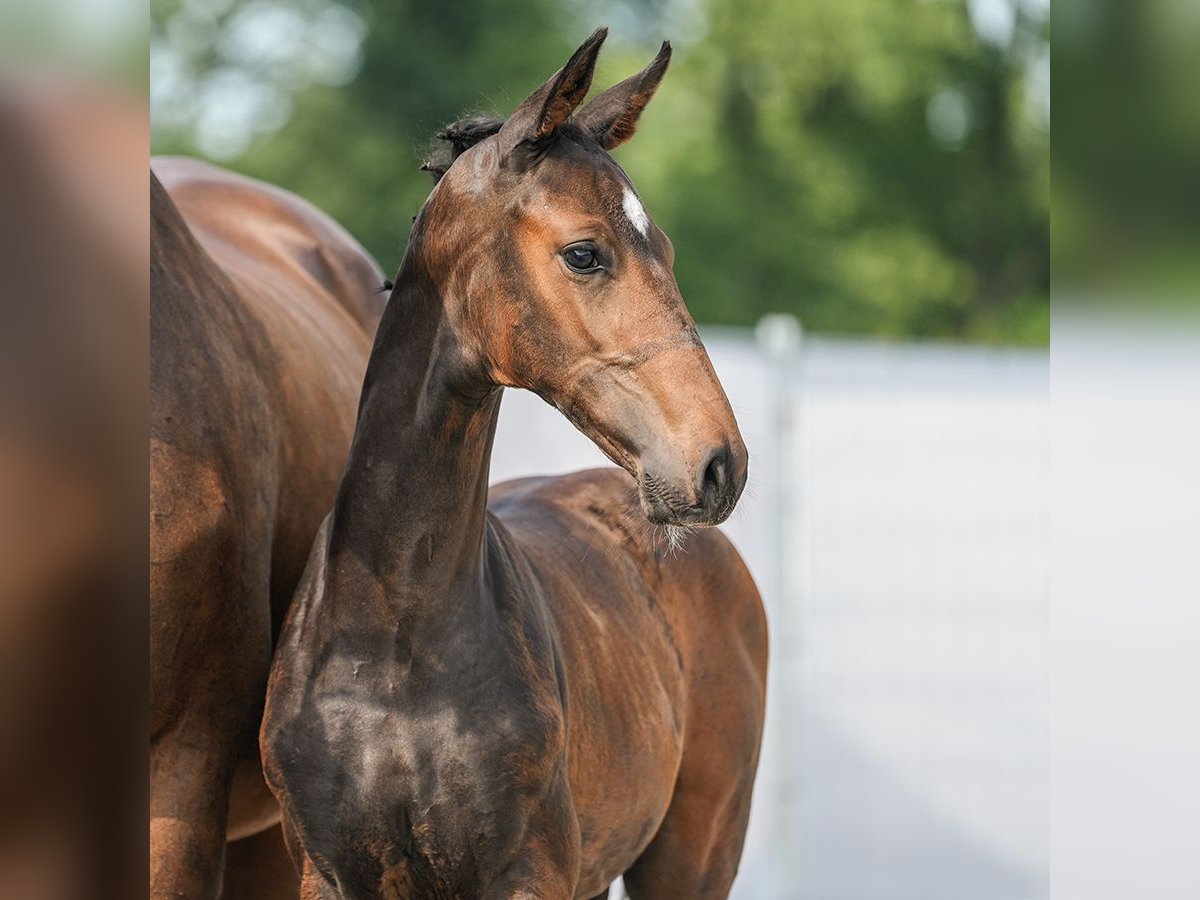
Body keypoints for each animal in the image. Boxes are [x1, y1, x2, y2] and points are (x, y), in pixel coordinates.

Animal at [262, 30, 768, 900]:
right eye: (584, 253)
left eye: (665, 250)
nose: (718, 465)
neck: (392, 633)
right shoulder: (324, 872)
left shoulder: (528, 873)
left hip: (697, 852)